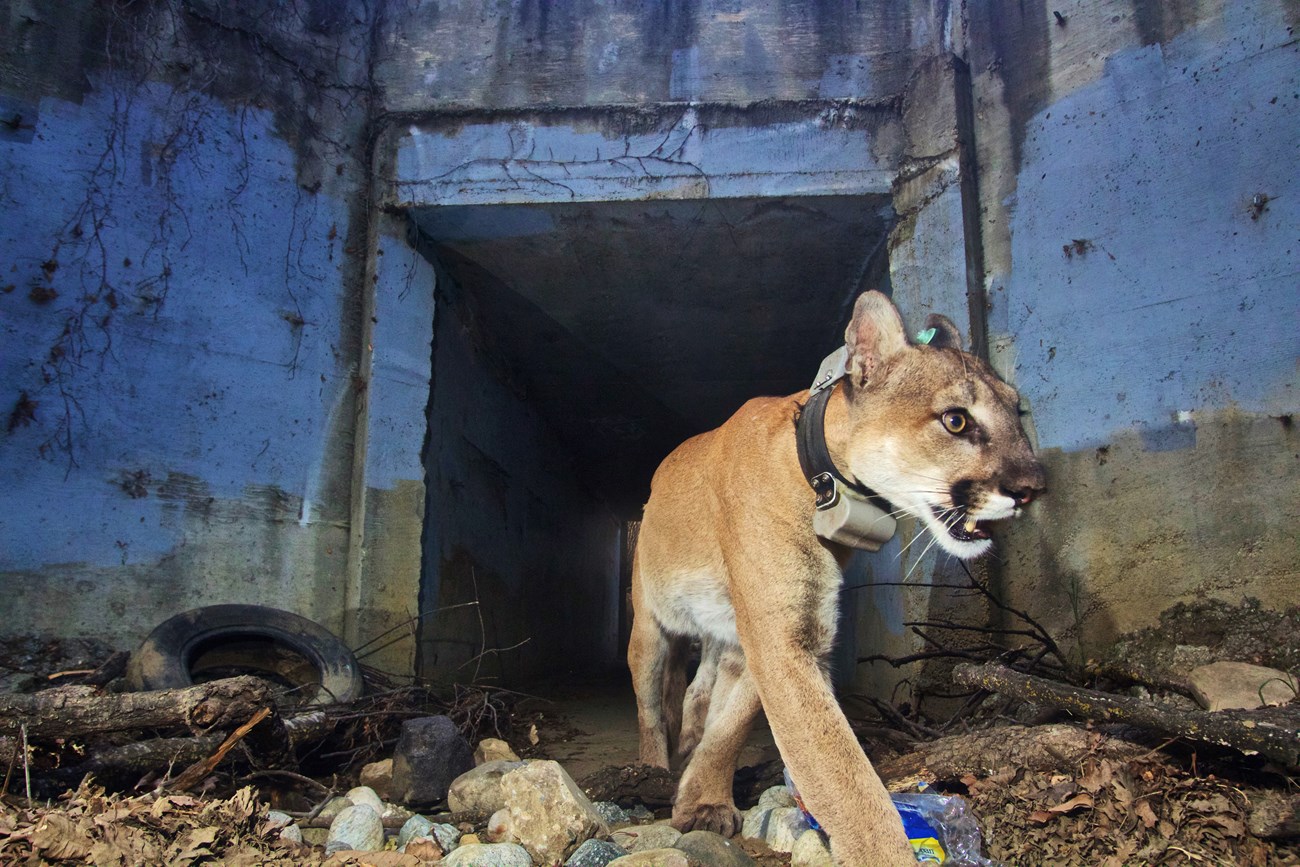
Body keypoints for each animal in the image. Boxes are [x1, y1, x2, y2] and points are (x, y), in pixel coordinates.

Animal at [629, 291, 1045, 867]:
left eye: (1017, 412)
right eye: (956, 421)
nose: (1034, 486)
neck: (829, 480)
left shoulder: (772, 636)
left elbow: (732, 724)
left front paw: (703, 798)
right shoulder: (780, 639)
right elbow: (845, 779)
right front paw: (885, 851)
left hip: (722, 632)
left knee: (698, 689)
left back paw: (688, 743)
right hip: (648, 622)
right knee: (650, 702)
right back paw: (651, 765)